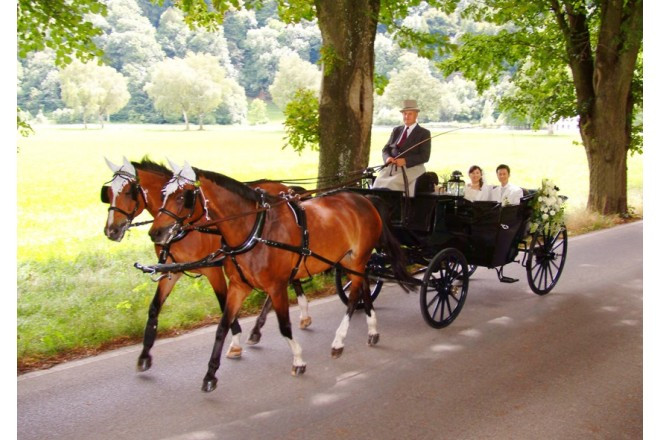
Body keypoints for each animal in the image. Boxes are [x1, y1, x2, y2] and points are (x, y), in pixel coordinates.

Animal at [101, 157, 312, 372]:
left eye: (128, 192)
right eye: (108, 193)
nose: (111, 230)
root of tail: (286, 188)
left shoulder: (213, 270)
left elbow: (223, 303)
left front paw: (235, 342)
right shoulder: (172, 270)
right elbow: (154, 308)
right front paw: (144, 355)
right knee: (290, 280)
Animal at [148, 162, 414, 392]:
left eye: (183, 196)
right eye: (163, 194)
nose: (155, 233)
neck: (255, 229)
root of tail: (365, 199)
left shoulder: (276, 287)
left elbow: (284, 326)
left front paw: (298, 359)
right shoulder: (238, 286)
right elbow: (223, 326)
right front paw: (211, 374)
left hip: (356, 258)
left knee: (355, 294)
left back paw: (339, 341)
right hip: (349, 261)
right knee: (365, 287)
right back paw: (372, 330)